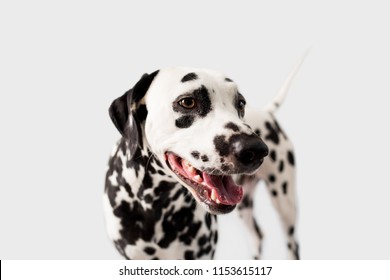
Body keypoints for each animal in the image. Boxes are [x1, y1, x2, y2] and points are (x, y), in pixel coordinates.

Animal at [102, 58, 304, 260]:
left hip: (285, 204)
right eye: (188, 102)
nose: (257, 150)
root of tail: (266, 112)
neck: (157, 207)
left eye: (240, 103)